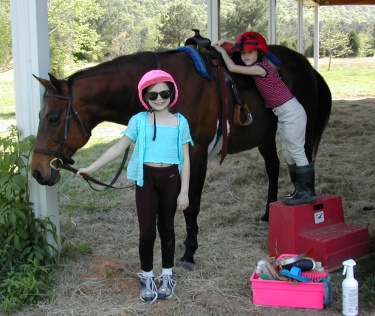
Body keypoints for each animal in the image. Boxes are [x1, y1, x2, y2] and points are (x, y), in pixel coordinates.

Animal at [30, 45, 332, 270]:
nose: (36, 171)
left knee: (302, 161)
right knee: (273, 168)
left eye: (53, 118)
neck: (170, 88)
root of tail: (308, 67)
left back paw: (303, 197)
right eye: (41, 114)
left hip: (300, 131)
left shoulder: (195, 153)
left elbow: (190, 205)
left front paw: (189, 253)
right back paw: (269, 213)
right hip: (266, 137)